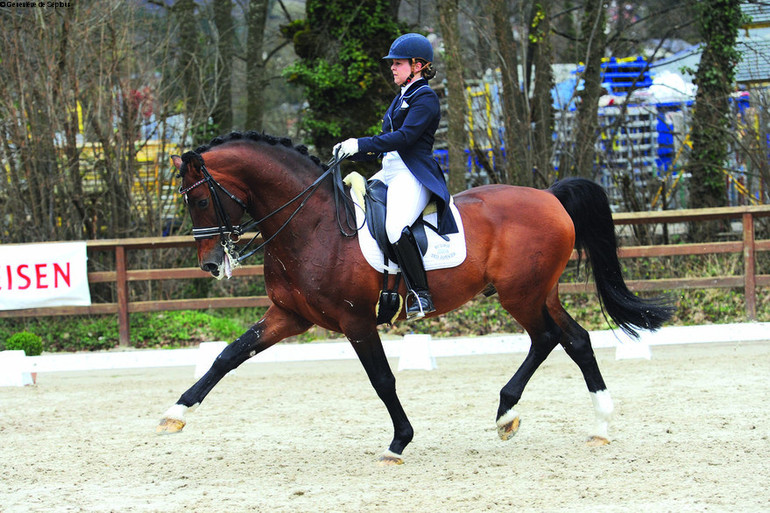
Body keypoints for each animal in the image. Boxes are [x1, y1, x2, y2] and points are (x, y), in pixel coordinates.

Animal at [158, 131, 672, 464]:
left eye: (199, 200)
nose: (210, 264)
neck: (313, 224)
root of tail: (549, 196)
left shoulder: (356, 322)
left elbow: (383, 381)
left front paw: (398, 442)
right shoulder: (289, 315)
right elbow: (228, 356)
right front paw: (174, 414)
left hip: (521, 295)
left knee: (545, 339)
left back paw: (507, 412)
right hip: (541, 291)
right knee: (576, 340)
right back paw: (598, 424)